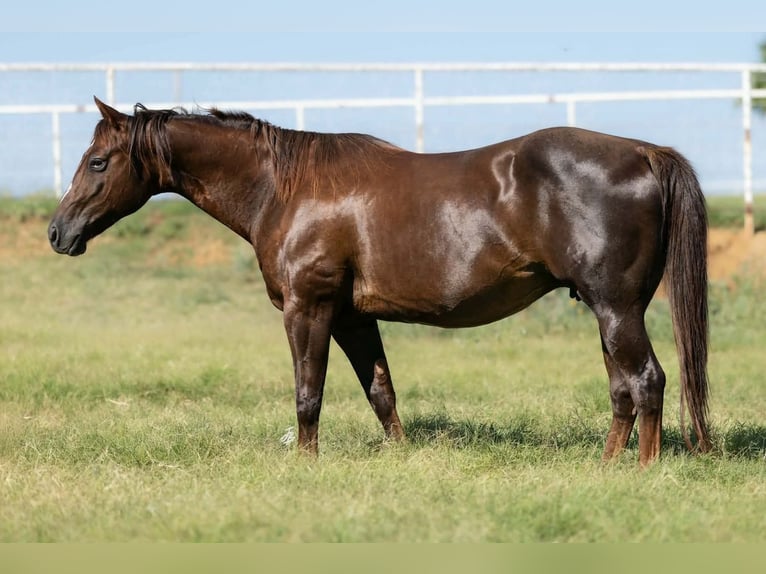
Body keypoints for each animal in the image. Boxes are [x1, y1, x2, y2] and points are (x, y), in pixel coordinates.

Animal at [48, 97, 711, 466]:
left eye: (99, 162)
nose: (59, 232)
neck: (284, 188)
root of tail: (645, 153)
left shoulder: (309, 309)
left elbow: (308, 394)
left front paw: (306, 466)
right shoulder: (352, 316)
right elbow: (381, 392)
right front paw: (399, 457)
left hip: (616, 307)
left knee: (647, 381)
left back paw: (643, 471)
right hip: (607, 311)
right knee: (623, 389)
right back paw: (605, 466)